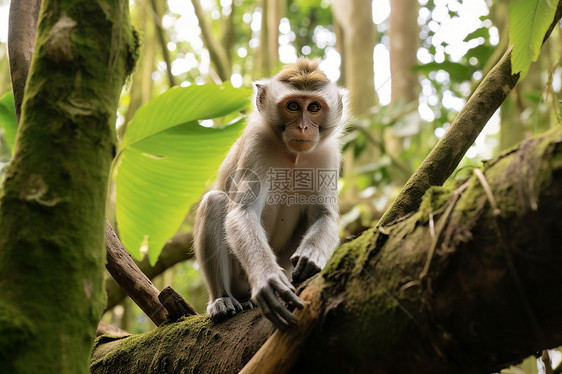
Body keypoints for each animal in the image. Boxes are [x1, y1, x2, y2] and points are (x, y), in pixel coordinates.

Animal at [195, 57, 348, 330]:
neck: (293, 155)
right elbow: (243, 211)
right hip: (239, 278)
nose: (303, 126)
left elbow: (324, 214)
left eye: (314, 107)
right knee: (215, 202)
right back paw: (222, 300)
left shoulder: (327, 154)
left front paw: (312, 257)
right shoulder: (257, 142)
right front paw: (267, 278)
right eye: (293, 106)